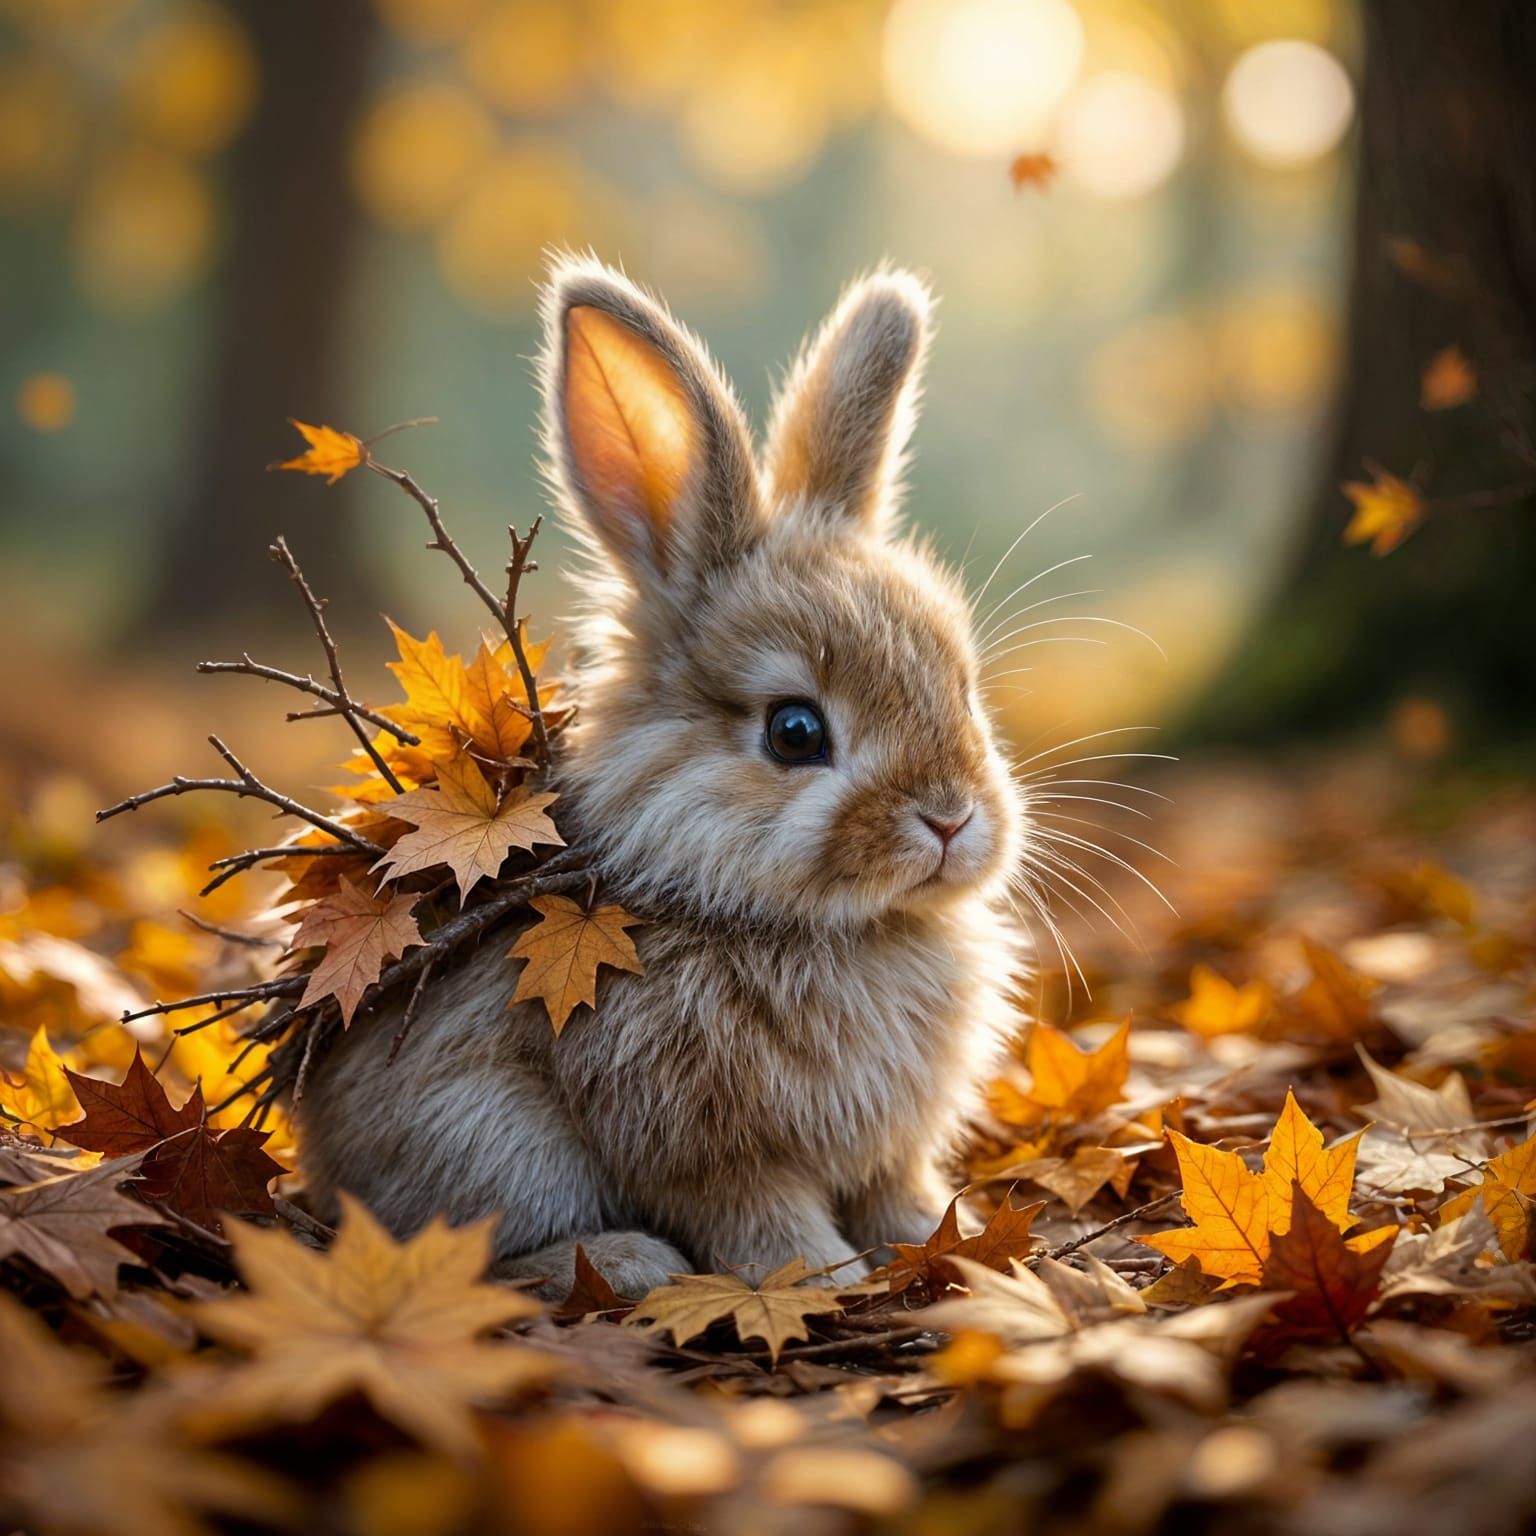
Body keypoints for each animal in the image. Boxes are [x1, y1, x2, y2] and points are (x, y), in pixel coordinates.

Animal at [296, 255, 1031, 1299]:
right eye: (795, 732)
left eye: (963, 690)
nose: (951, 820)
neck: (843, 930)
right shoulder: (706, 1146)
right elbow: (760, 1216)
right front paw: (826, 1278)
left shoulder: (886, 1150)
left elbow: (900, 1192)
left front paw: (944, 1239)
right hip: (491, 1144)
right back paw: (628, 1262)